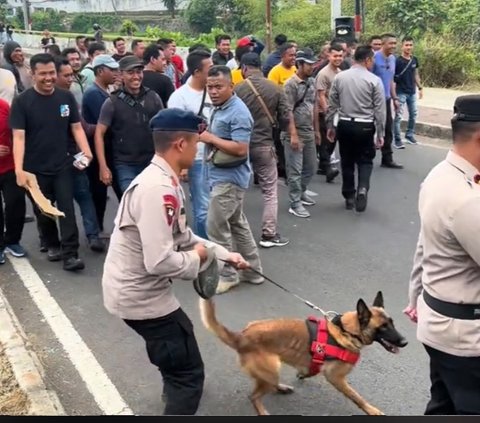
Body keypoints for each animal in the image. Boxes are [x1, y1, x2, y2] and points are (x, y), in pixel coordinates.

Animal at [201, 294, 406, 416]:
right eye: (383, 327)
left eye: (392, 323)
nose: (405, 342)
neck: (347, 330)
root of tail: (241, 337)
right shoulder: (336, 378)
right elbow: (357, 397)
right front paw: (371, 410)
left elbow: (310, 371)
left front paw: (304, 374)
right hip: (271, 370)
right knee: (254, 396)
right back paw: (263, 410)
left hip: (271, 370)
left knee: (266, 387)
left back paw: (282, 387)